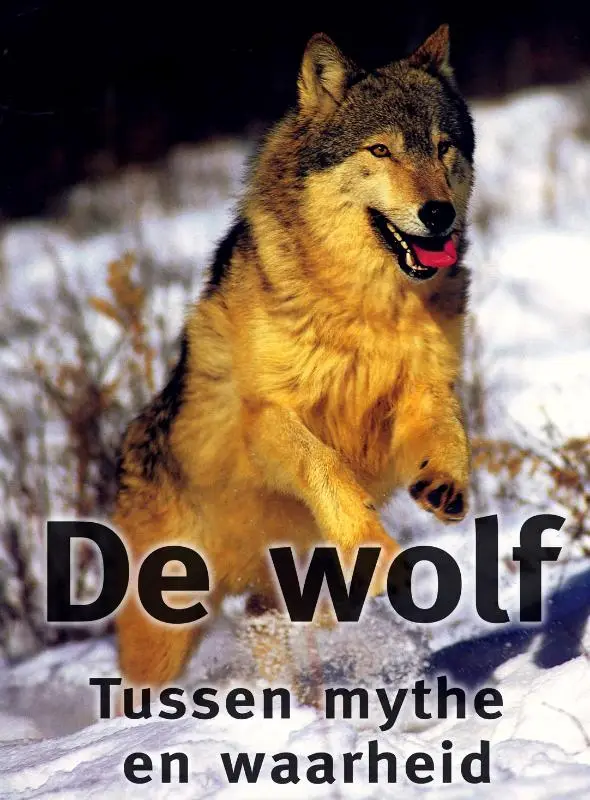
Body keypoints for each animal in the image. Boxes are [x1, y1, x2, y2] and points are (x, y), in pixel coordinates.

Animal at [114, 24, 475, 692]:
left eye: (443, 149)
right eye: (381, 151)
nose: (438, 213)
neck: (367, 308)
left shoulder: (419, 391)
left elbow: (451, 429)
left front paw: (443, 483)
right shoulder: (265, 418)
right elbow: (322, 464)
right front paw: (374, 554)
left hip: (272, 598)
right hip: (166, 630)